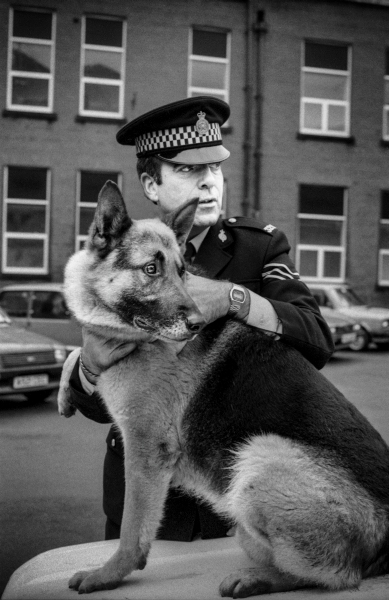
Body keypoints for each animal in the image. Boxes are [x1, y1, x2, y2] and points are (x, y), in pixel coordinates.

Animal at [57, 180, 388, 596]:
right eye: (151, 269)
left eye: (182, 271)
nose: (199, 322)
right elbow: (76, 353)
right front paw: (66, 388)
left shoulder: (146, 448)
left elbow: (133, 528)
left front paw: (108, 574)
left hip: (257, 458)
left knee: (337, 574)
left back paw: (257, 578)